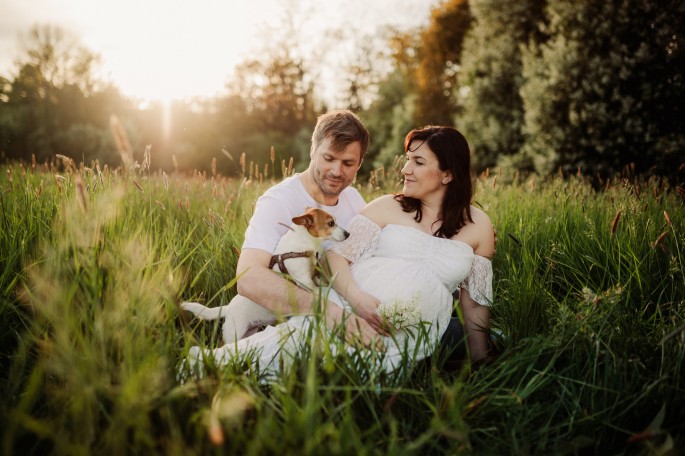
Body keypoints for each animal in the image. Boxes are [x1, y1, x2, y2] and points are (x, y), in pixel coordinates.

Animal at [179, 208, 350, 344]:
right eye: (331, 223)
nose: (348, 233)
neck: (303, 244)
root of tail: (228, 309)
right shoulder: (304, 280)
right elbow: (315, 290)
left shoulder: (312, 275)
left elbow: (319, 281)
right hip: (234, 334)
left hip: (249, 331)